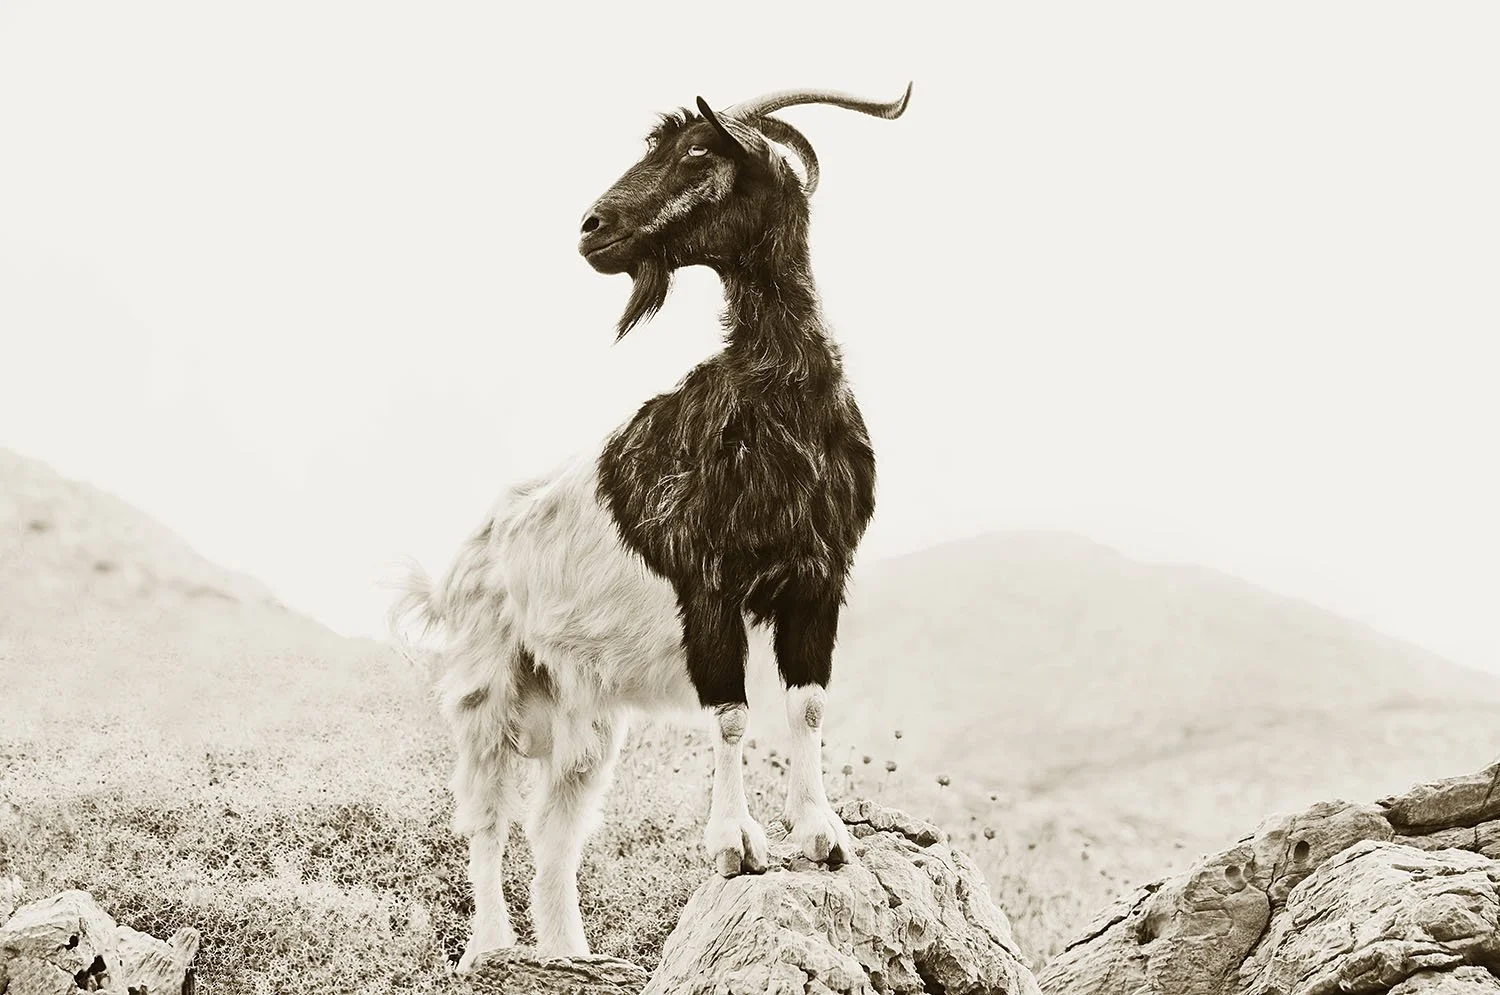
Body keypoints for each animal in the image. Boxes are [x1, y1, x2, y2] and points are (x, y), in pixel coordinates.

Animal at [391, 83, 911, 970]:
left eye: (700, 150)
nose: (591, 227)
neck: (777, 398)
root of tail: (459, 566)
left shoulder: (818, 579)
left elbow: (806, 706)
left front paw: (824, 835)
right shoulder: (709, 586)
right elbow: (732, 713)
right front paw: (737, 846)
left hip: (584, 714)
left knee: (554, 832)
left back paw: (569, 951)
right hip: (484, 683)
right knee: (486, 817)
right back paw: (492, 947)